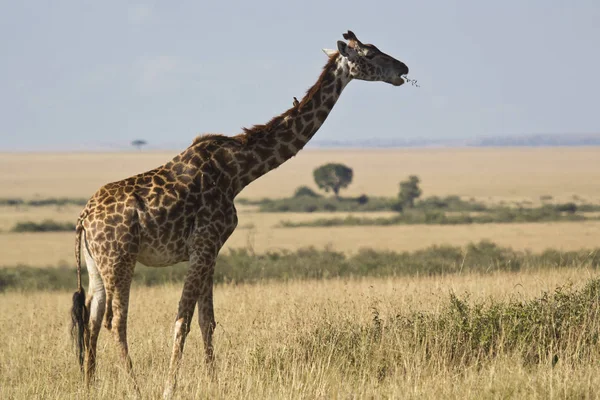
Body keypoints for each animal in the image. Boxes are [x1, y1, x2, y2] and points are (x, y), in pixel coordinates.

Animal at [69, 30, 408, 396]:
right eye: (370, 54)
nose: (403, 69)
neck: (238, 172)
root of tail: (83, 219)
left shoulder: (209, 251)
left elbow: (207, 321)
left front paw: (213, 383)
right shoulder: (204, 245)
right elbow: (183, 320)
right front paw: (169, 389)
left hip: (96, 265)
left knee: (91, 319)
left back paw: (88, 385)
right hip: (121, 259)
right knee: (115, 322)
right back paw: (135, 388)